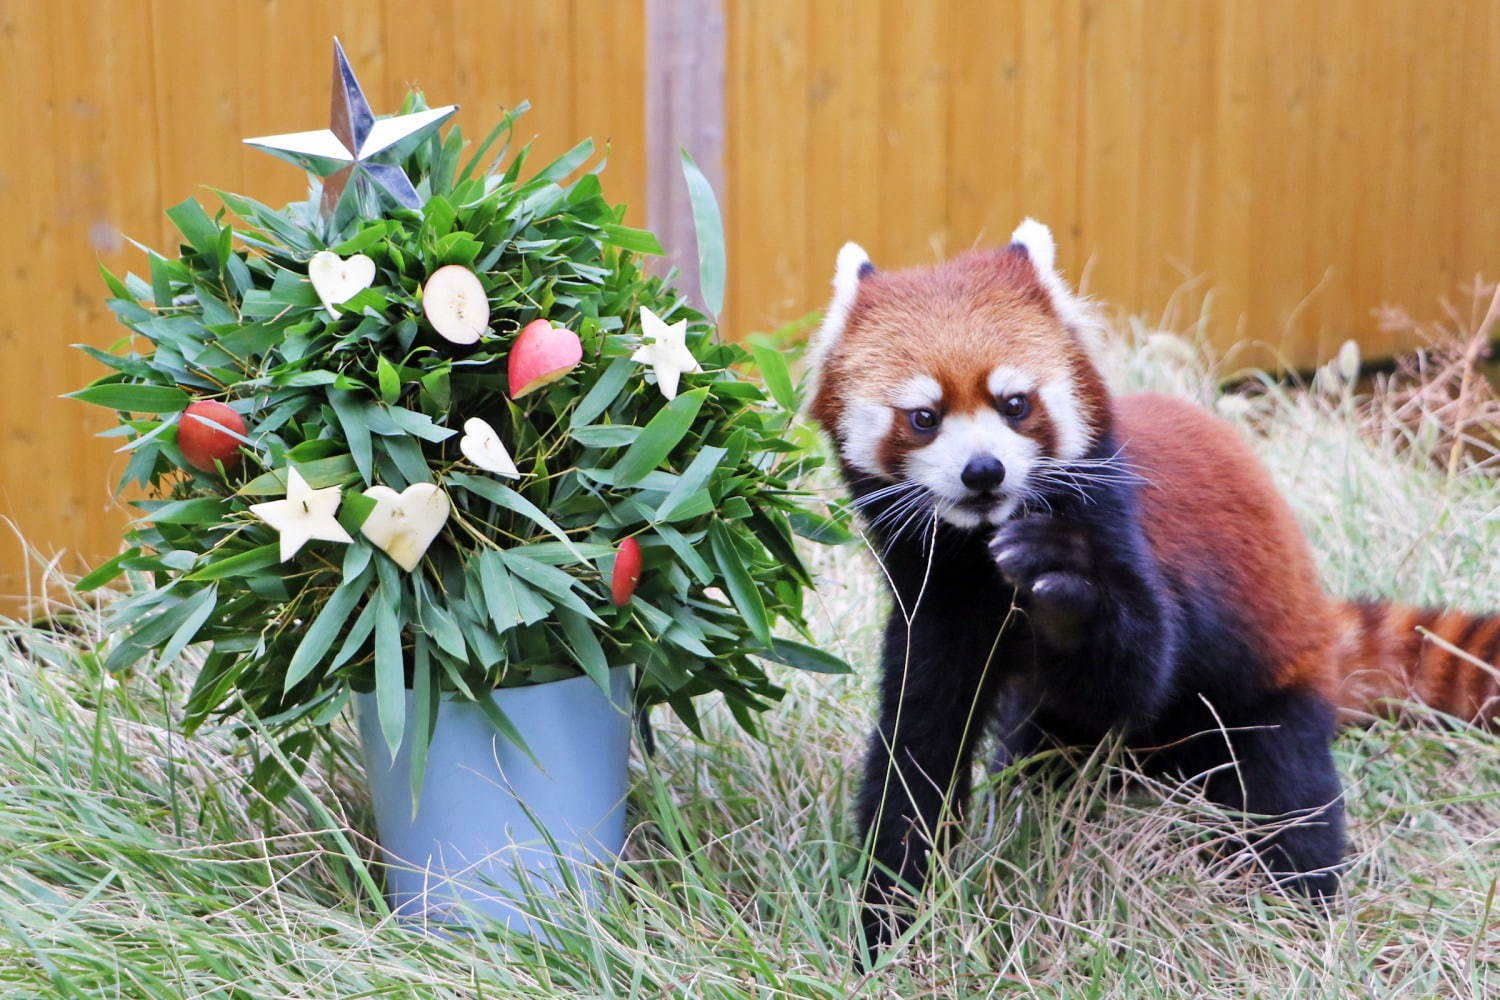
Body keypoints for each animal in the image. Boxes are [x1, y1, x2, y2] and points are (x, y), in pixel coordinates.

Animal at [810, 220, 1500, 959]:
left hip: (1271, 688)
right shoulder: (935, 602)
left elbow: (1136, 673)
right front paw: (888, 918)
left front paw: (1061, 588)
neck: (982, 558)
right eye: (924, 417)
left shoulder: (1127, 534)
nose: (983, 471)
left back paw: (1293, 909)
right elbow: (919, 747)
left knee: (1288, 794)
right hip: (1050, 729)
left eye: (1014, 404)